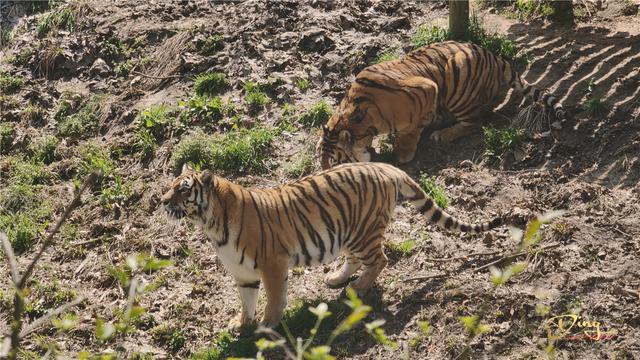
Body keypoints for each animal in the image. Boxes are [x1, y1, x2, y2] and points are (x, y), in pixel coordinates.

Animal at [161, 162, 504, 330]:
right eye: (170, 187)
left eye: (183, 189)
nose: (162, 200)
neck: (210, 224)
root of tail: (387, 167)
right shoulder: (243, 272)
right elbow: (246, 300)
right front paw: (241, 323)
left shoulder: (273, 264)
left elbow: (274, 298)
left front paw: (269, 325)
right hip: (347, 231)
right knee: (356, 259)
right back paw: (336, 278)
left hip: (364, 232)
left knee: (380, 260)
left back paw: (358, 288)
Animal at [318, 40, 568, 169]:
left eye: (335, 161)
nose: (324, 173)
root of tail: (498, 59)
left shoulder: (426, 88)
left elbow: (411, 130)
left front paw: (403, 152)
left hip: (458, 76)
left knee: (475, 122)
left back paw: (442, 134)